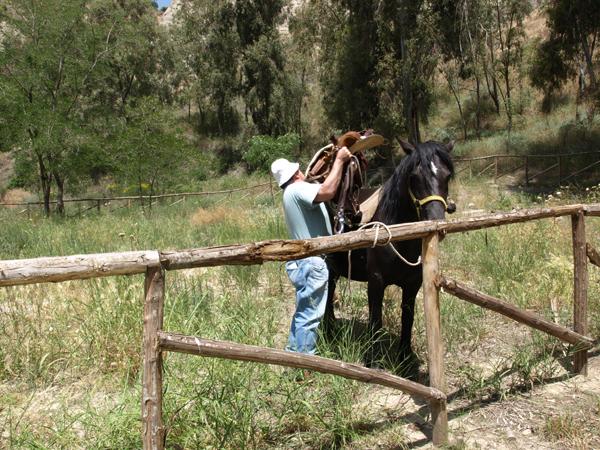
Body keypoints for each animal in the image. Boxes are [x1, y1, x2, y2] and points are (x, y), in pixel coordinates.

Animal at [326, 139, 452, 368]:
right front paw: (374, 360)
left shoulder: (413, 284)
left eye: (447, 175)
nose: (436, 222)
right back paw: (328, 330)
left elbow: (407, 317)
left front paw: (405, 357)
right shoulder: (376, 281)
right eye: (414, 176)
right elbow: (376, 318)